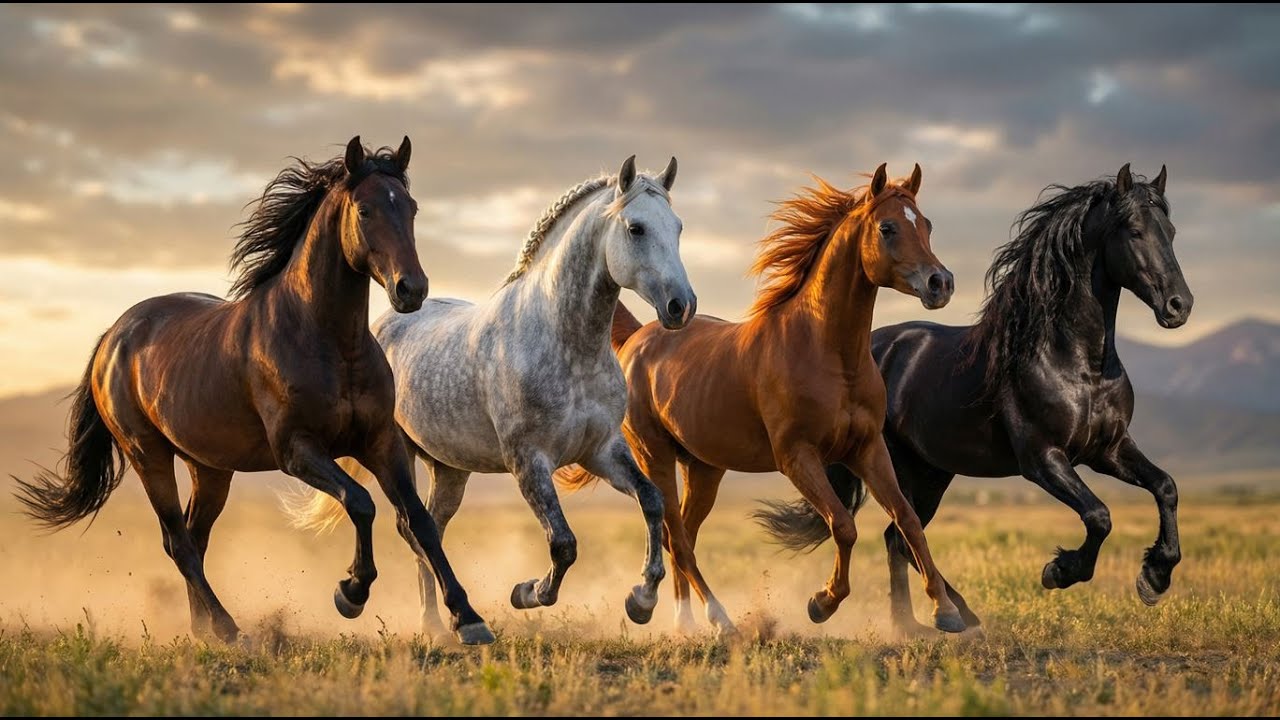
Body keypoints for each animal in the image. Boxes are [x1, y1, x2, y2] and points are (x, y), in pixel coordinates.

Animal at [15, 137, 495, 645]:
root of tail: (114, 336)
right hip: (149, 456)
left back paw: (203, 629)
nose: (411, 289)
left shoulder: (380, 443)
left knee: (194, 537)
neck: (326, 340)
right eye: (365, 210)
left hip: (210, 468)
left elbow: (420, 522)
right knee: (178, 542)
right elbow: (360, 504)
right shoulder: (297, 450)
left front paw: (469, 618)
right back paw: (229, 629)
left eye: (411, 207)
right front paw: (351, 593)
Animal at [288, 156, 694, 633]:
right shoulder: (529, 462)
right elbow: (564, 544)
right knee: (413, 527)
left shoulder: (602, 451)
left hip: (449, 469)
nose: (681, 306)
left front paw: (641, 600)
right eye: (636, 228)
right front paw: (526, 593)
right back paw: (433, 621)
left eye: (678, 227)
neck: (565, 342)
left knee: (430, 528)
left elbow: (652, 503)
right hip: (396, 451)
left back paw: (442, 623)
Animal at [558, 163, 966, 636]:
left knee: (683, 535)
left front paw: (946, 611)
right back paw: (704, 617)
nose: (941, 283)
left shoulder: (866, 449)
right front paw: (822, 603)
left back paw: (685, 622)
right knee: (676, 537)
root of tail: (638, 338)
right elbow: (843, 525)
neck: (826, 353)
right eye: (888, 227)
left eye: (927, 225)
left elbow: (908, 520)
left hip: (704, 468)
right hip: (654, 456)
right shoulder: (797, 457)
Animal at [757, 164, 1191, 636]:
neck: (1075, 362)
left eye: (1170, 231)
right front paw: (1059, 571)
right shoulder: (1043, 460)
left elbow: (1165, 487)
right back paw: (946, 616)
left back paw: (919, 622)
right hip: (899, 466)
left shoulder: (1108, 449)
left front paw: (1155, 576)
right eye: (1134, 231)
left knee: (899, 536)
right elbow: (1099, 515)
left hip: (933, 470)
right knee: (902, 534)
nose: (1179, 306)